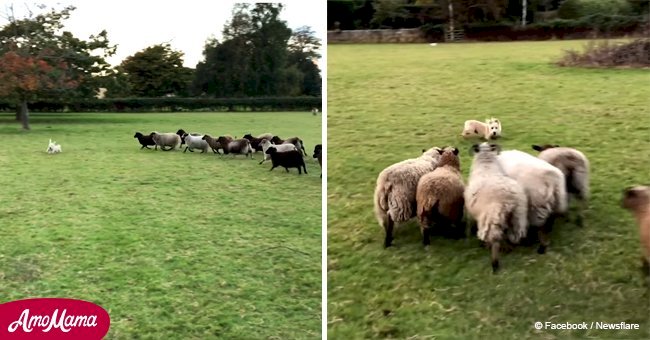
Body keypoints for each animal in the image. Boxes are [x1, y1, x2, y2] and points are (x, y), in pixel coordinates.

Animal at [460, 141, 528, 274]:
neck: (486, 164)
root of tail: (508, 200)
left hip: (492, 217)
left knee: (495, 238)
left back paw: (494, 262)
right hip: (518, 216)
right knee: (512, 234)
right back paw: (508, 248)